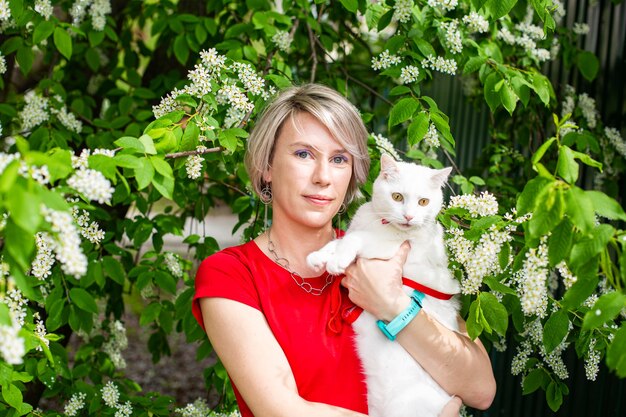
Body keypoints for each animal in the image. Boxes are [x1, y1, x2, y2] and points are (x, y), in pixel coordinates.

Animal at [308, 153, 458, 416]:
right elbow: (339, 240)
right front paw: (318, 257)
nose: (409, 217)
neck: (380, 224)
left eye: (423, 202)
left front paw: (336, 260)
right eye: (397, 197)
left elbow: (354, 239)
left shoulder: (387, 248)